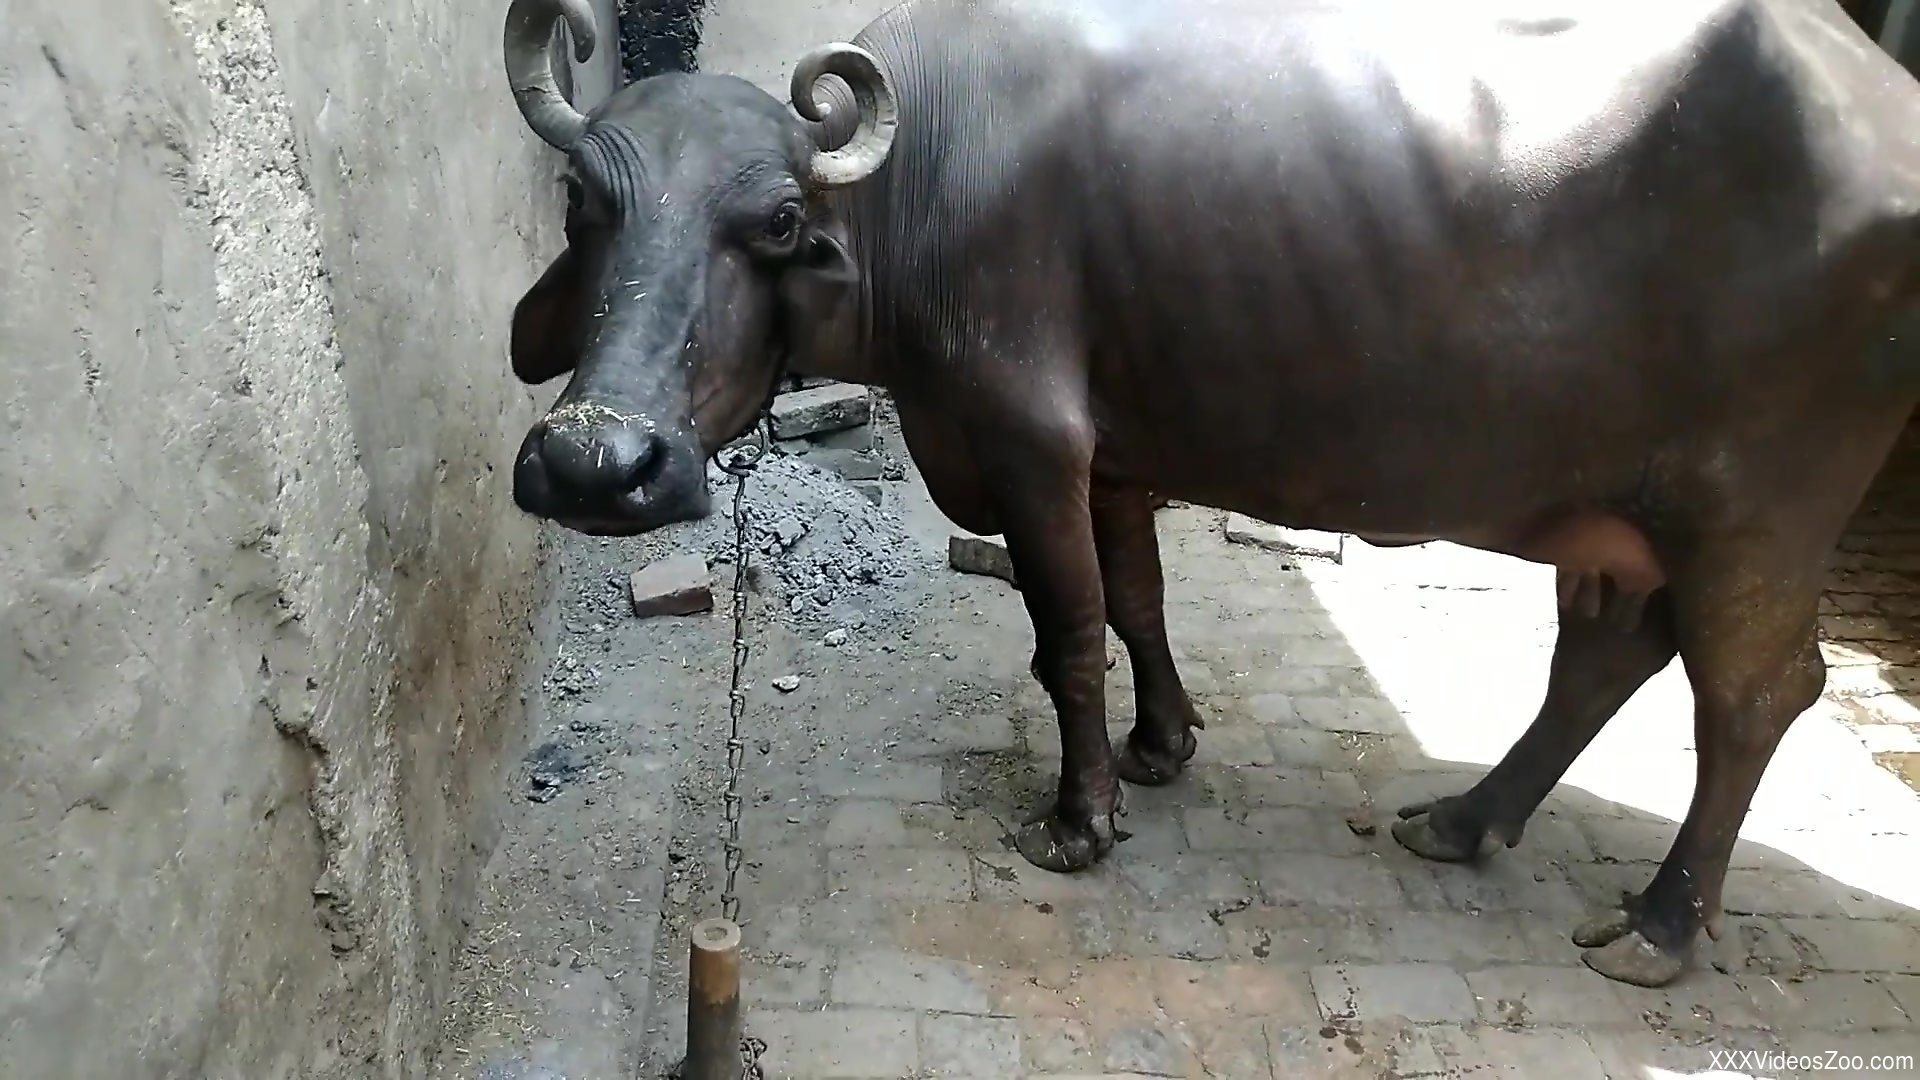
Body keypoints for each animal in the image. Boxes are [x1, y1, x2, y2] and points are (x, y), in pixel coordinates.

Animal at [498, 0, 1920, 986]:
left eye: (780, 223)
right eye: (581, 205)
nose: (594, 463)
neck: (922, 192)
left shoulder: (1030, 441)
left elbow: (1067, 631)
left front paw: (1081, 817)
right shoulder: (1117, 454)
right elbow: (1139, 601)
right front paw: (1162, 744)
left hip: (1754, 508)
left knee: (1755, 693)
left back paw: (1661, 926)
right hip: (1622, 512)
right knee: (1606, 658)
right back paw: (1465, 821)